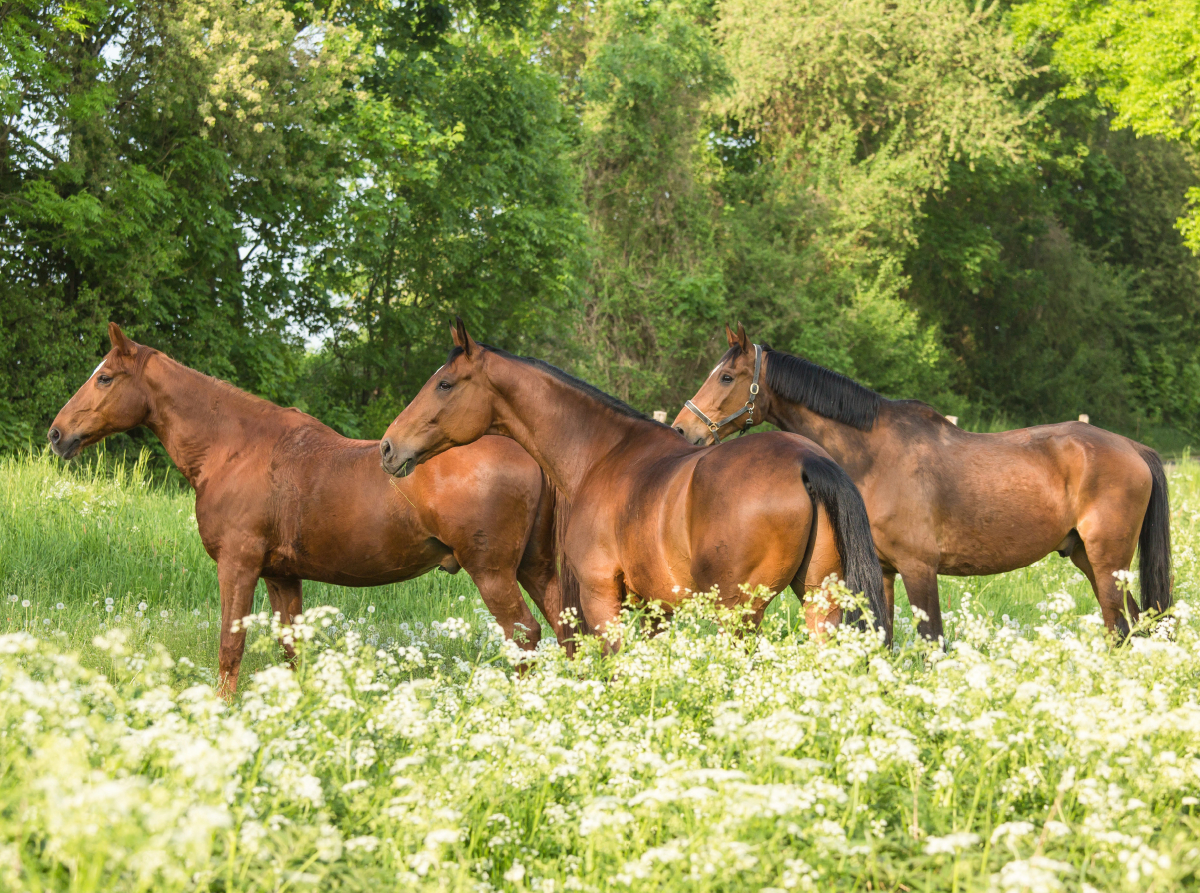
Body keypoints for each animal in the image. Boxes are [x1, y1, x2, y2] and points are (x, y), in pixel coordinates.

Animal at [49, 324, 568, 696]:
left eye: (104, 377)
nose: (56, 434)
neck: (233, 448)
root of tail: (530, 454)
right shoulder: (282, 576)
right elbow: (292, 650)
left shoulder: (238, 566)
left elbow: (230, 647)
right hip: (535, 569)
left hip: (493, 572)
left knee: (525, 635)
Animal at [376, 316, 892, 643]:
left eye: (445, 384)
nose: (387, 447)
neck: (602, 453)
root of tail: (807, 462)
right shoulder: (653, 607)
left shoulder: (603, 596)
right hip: (820, 603)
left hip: (738, 614)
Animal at [676, 324, 1171, 638]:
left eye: (726, 376)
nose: (684, 430)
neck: (873, 457)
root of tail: (1133, 448)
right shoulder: (885, 572)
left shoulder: (919, 570)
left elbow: (932, 642)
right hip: (1089, 559)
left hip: (1107, 563)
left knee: (1122, 627)